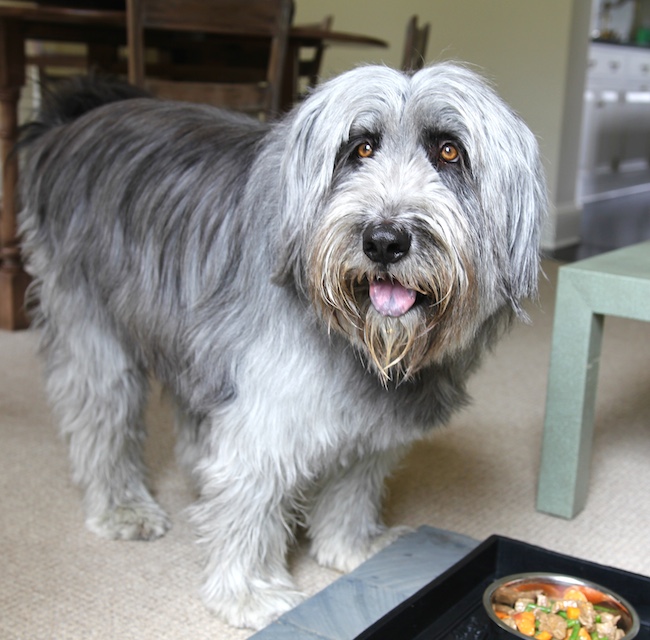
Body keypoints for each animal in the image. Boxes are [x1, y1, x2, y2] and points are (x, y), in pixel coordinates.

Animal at [17, 65, 544, 632]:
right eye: (360, 148)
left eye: (449, 152)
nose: (384, 240)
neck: (361, 343)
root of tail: (78, 119)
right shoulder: (266, 414)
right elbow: (254, 496)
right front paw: (248, 593)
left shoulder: (372, 422)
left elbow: (354, 484)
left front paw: (352, 547)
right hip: (95, 332)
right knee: (102, 422)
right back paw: (122, 507)